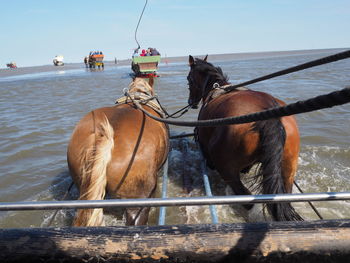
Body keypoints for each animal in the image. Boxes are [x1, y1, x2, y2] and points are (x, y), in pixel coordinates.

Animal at [187, 55, 302, 223]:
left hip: (227, 169)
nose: (191, 102)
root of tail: (268, 110)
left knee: (246, 199)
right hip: (288, 168)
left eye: (188, 79)